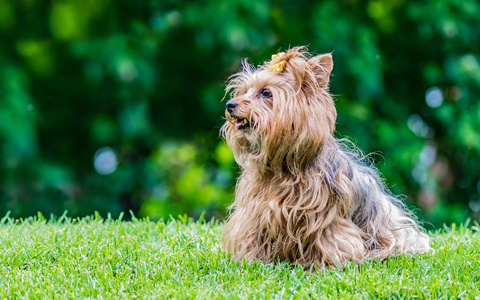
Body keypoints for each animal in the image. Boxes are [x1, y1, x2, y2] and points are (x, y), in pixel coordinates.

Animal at [221, 47, 432, 270]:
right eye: (244, 91)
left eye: (265, 93)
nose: (230, 104)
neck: (284, 165)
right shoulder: (256, 211)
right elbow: (254, 234)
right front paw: (252, 261)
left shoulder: (325, 215)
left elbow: (330, 237)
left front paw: (328, 264)